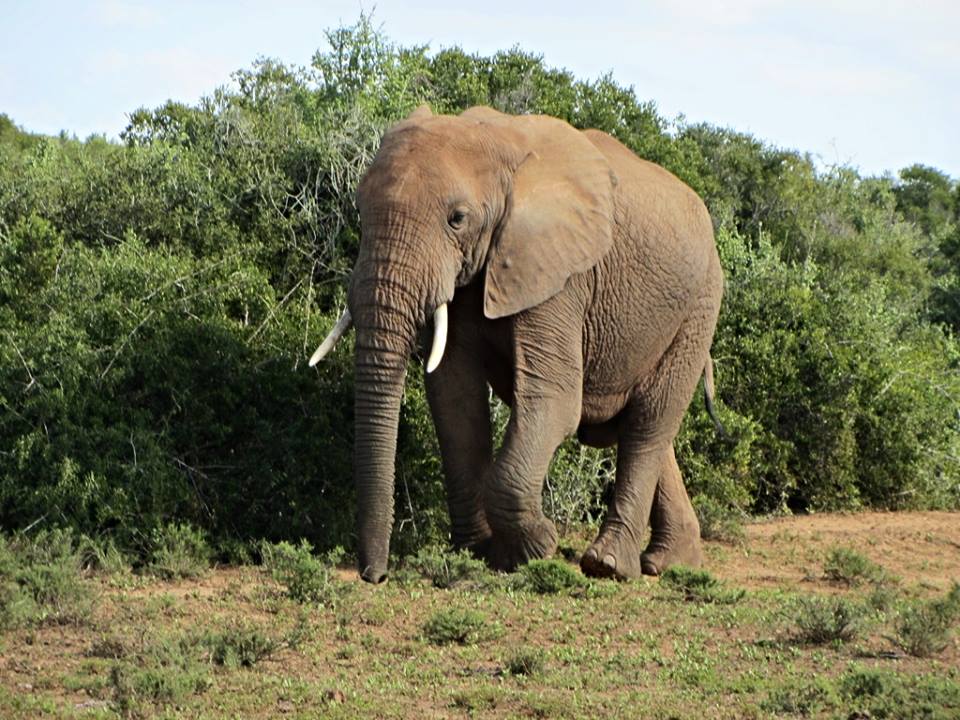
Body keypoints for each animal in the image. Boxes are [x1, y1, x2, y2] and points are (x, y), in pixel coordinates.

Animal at [311, 104, 724, 584]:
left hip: (698, 308)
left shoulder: (559, 272)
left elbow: (555, 401)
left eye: (457, 218)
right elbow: (454, 400)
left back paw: (607, 566)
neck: (497, 141)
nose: (374, 575)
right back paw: (671, 561)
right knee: (645, 427)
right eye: (360, 210)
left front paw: (533, 548)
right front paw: (476, 552)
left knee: (650, 422)